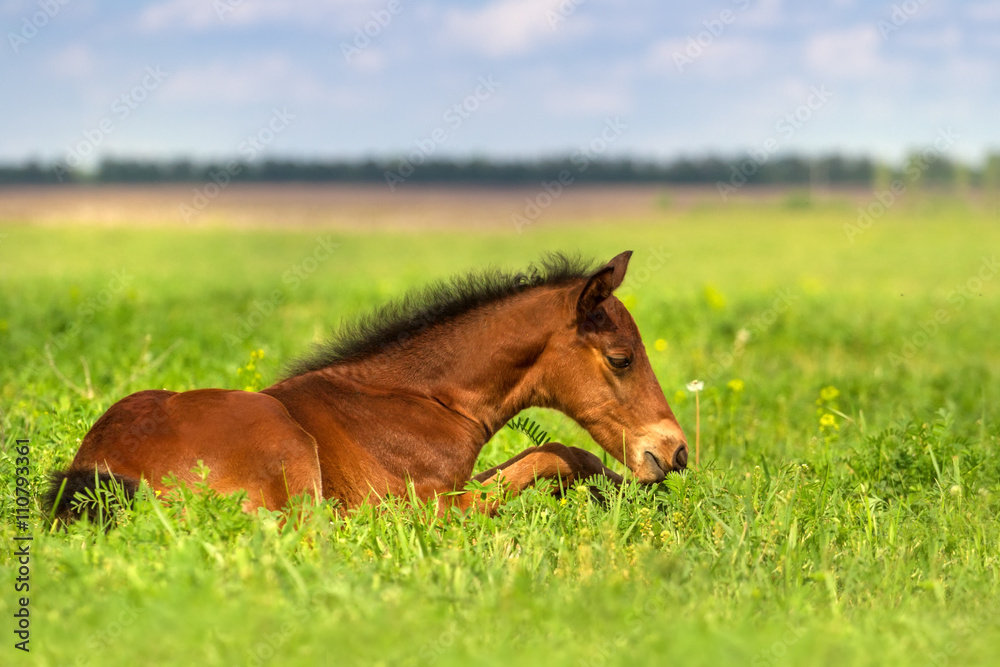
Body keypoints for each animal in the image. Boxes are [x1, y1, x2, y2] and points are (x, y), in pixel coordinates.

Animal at [45, 251, 688, 521]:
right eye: (622, 358)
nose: (675, 452)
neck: (421, 401)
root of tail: (101, 473)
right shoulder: (429, 501)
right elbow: (547, 458)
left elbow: (562, 454)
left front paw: (628, 496)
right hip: (286, 448)